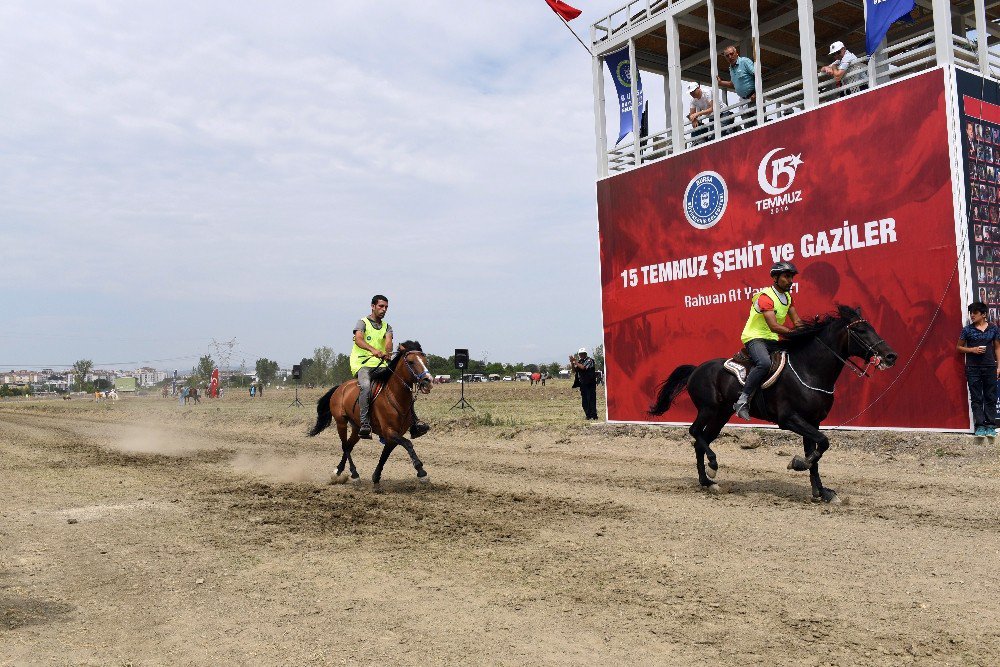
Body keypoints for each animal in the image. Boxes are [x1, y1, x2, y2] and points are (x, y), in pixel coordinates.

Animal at [308, 342, 434, 488]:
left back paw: (338, 472)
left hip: (357, 428)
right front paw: (421, 471)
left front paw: (376, 476)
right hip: (341, 422)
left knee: (349, 446)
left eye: (425, 361)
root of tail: (340, 388)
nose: (428, 381)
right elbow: (408, 444)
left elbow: (385, 455)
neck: (394, 395)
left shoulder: (393, 435)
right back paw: (354, 475)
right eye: (411, 362)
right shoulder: (390, 431)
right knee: (345, 446)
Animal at [648, 306, 900, 500]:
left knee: (701, 441)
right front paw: (797, 464)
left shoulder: (812, 422)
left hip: (721, 415)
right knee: (694, 432)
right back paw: (712, 465)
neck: (809, 370)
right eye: (860, 330)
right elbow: (822, 444)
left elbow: (816, 452)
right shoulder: (789, 419)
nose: (890, 356)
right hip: (708, 409)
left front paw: (821, 492)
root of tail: (695, 369)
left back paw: (707, 481)